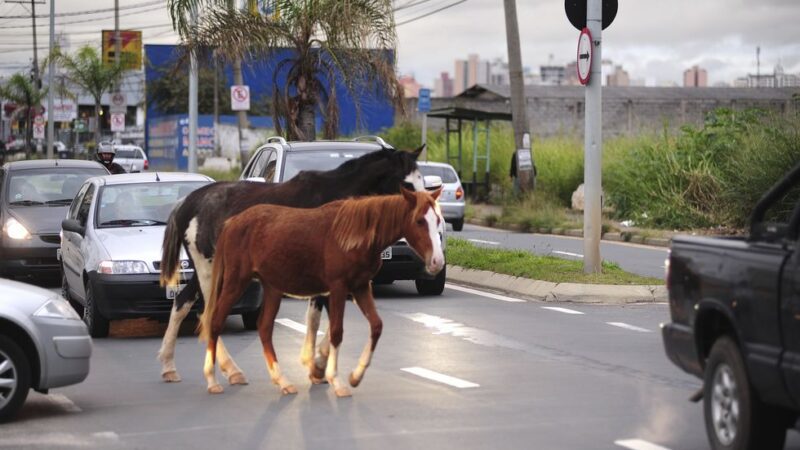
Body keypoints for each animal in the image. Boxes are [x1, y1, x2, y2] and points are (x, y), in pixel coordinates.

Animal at [159, 146, 428, 384]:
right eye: (407, 184)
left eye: (422, 181)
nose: (426, 216)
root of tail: (188, 202)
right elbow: (325, 319)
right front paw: (316, 363)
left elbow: (317, 318)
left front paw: (315, 364)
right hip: (210, 270)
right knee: (209, 311)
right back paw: (229, 369)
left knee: (183, 302)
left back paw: (170, 365)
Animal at [196, 189, 440, 398]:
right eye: (419, 221)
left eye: (438, 220)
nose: (437, 261)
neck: (354, 234)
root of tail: (232, 222)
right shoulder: (338, 287)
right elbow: (336, 332)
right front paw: (336, 380)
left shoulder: (360, 286)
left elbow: (376, 325)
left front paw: (355, 376)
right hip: (235, 283)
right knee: (215, 323)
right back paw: (212, 379)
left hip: (272, 287)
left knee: (264, 328)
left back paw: (282, 380)